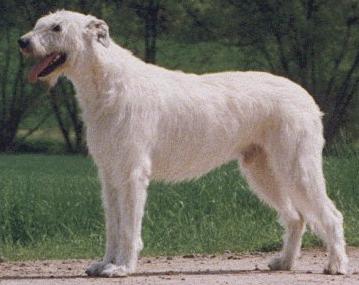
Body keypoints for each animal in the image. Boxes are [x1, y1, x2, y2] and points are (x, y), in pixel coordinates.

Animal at [19, 10, 348, 276]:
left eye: (57, 27)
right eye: (38, 24)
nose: (22, 42)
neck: (108, 82)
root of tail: (306, 96)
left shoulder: (132, 174)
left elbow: (128, 227)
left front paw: (122, 267)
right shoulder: (109, 174)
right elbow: (113, 225)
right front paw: (105, 263)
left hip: (297, 166)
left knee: (330, 215)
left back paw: (336, 265)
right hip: (262, 170)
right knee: (295, 217)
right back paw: (284, 262)